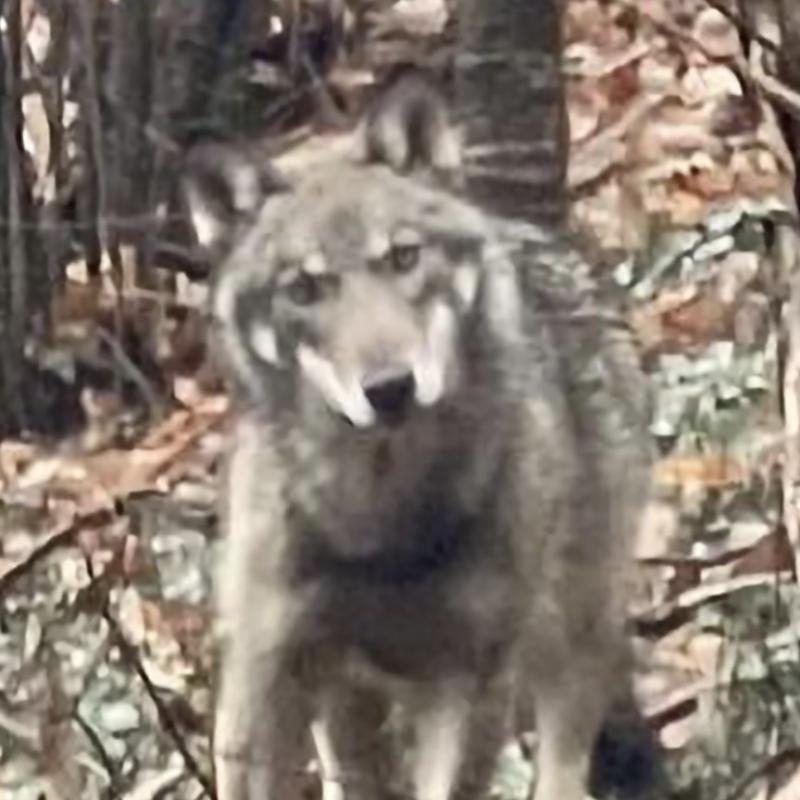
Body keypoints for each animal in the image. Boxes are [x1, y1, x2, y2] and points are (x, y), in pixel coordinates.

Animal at [183, 74, 655, 800]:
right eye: (303, 288)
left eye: (403, 257)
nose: (390, 389)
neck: (379, 522)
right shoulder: (267, 676)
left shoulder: (468, 679)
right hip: (344, 705)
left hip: (569, 638)